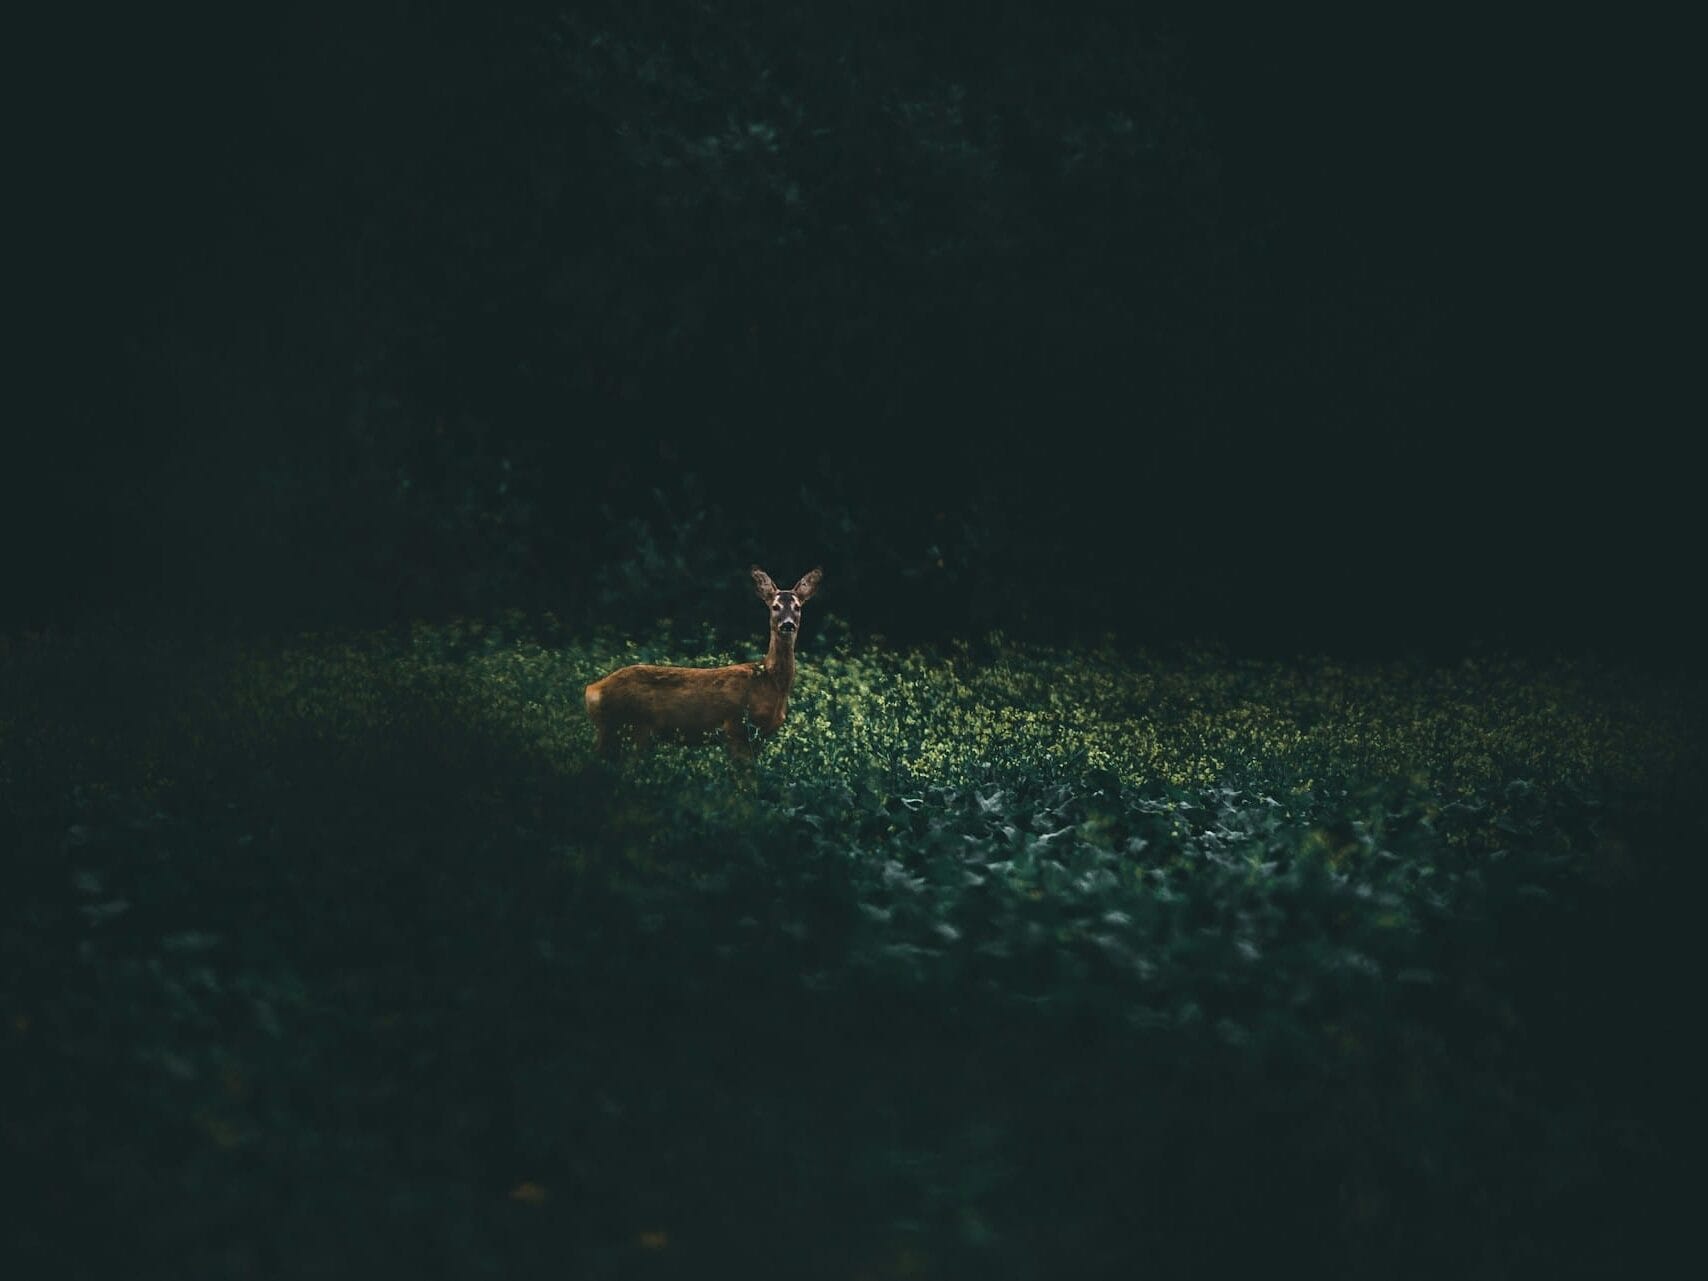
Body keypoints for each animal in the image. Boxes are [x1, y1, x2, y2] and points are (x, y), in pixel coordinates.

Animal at [584, 566, 823, 762]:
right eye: (775, 607)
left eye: (798, 607)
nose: (787, 624)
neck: (769, 681)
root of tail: (592, 690)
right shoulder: (736, 729)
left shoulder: (758, 739)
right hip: (629, 728)